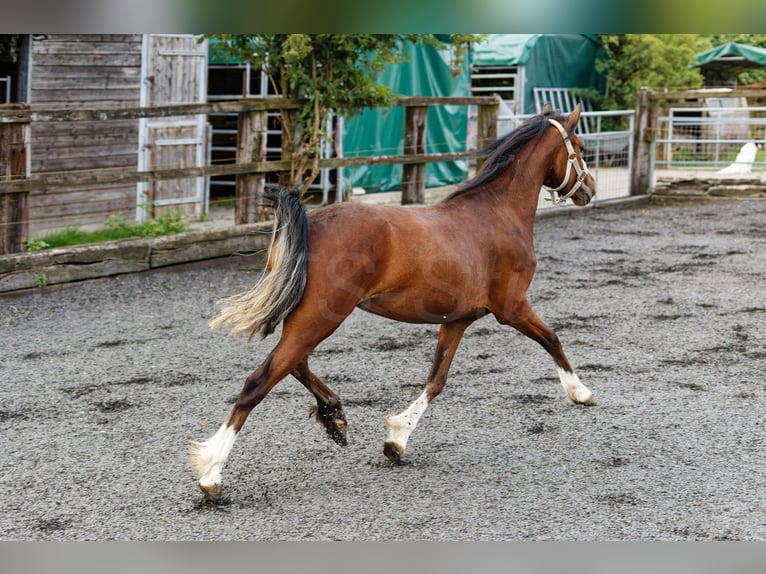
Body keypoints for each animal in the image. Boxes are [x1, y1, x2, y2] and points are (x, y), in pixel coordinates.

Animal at [192, 104, 600, 504]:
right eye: (579, 146)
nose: (591, 189)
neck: (498, 213)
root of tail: (312, 222)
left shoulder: (457, 319)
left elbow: (436, 380)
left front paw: (396, 439)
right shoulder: (512, 307)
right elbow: (552, 339)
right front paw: (580, 392)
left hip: (308, 317)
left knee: (296, 365)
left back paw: (335, 418)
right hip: (322, 316)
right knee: (260, 380)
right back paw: (211, 474)